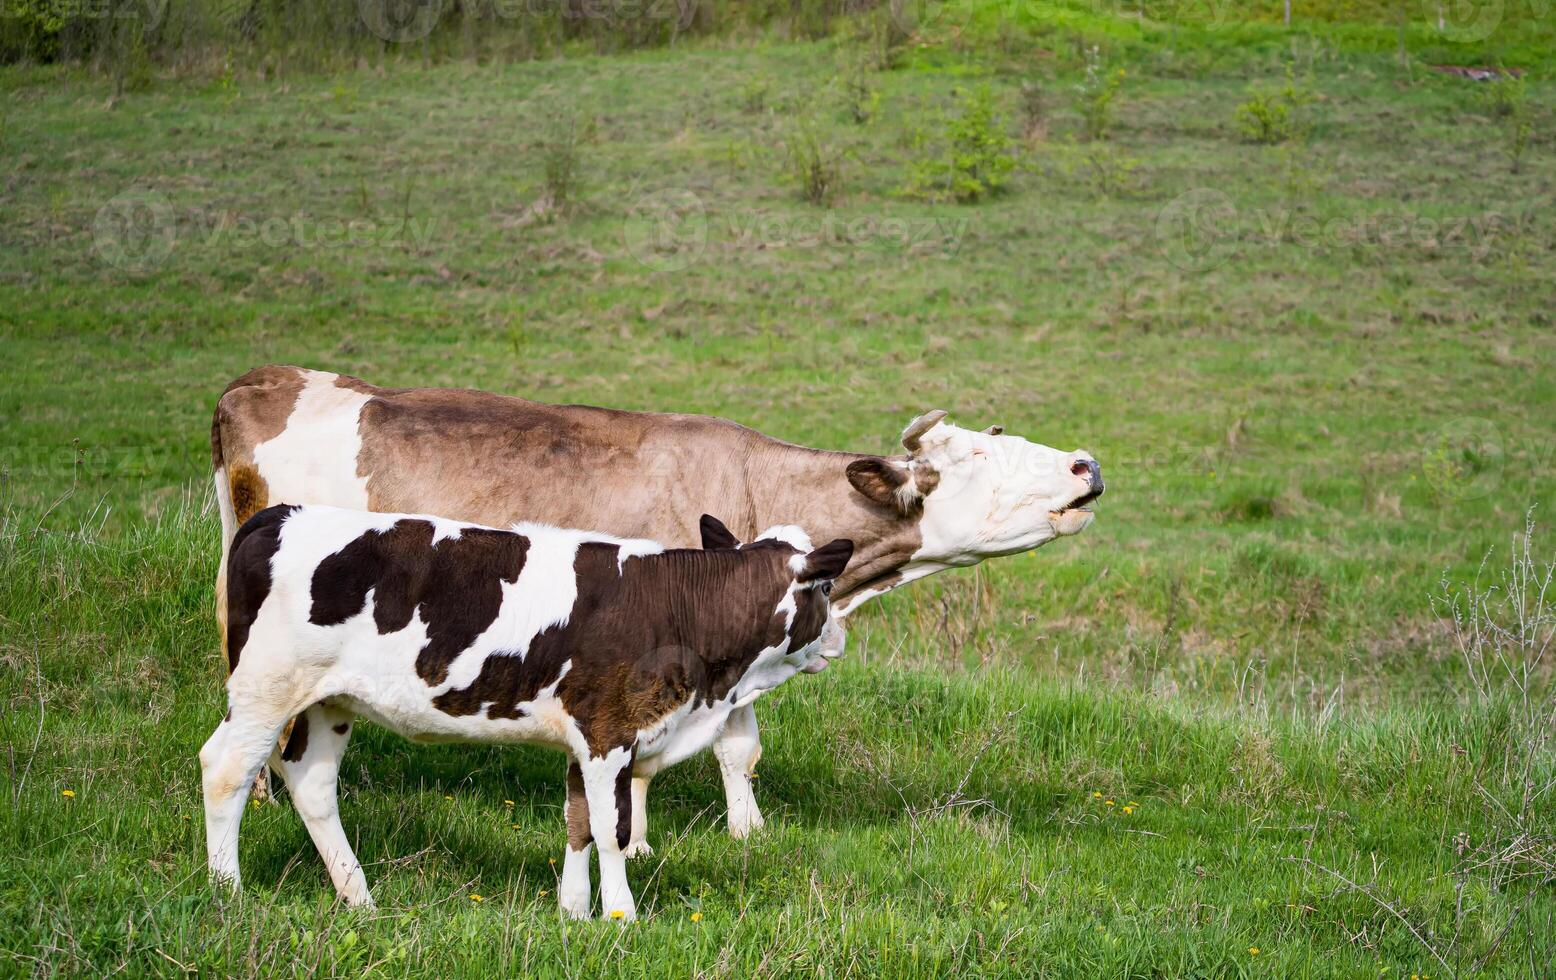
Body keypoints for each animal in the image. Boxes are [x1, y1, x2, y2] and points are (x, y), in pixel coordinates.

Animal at [203, 507, 852, 920]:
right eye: (825, 589)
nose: (841, 639)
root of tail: (278, 514)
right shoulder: (608, 732)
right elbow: (614, 830)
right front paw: (621, 917)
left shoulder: (584, 736)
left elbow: (579, 823)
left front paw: (574, 913)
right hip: (265, 687)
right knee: (226, 768)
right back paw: (226, 890)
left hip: (330, 699)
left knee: (312, 784)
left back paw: (358, 896)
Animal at [210, 365, 1107, 858]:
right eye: (981, 456)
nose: (1085, 463)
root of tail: (266, 380)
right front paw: (636, 841)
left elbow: (741, 747)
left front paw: (748, 833)